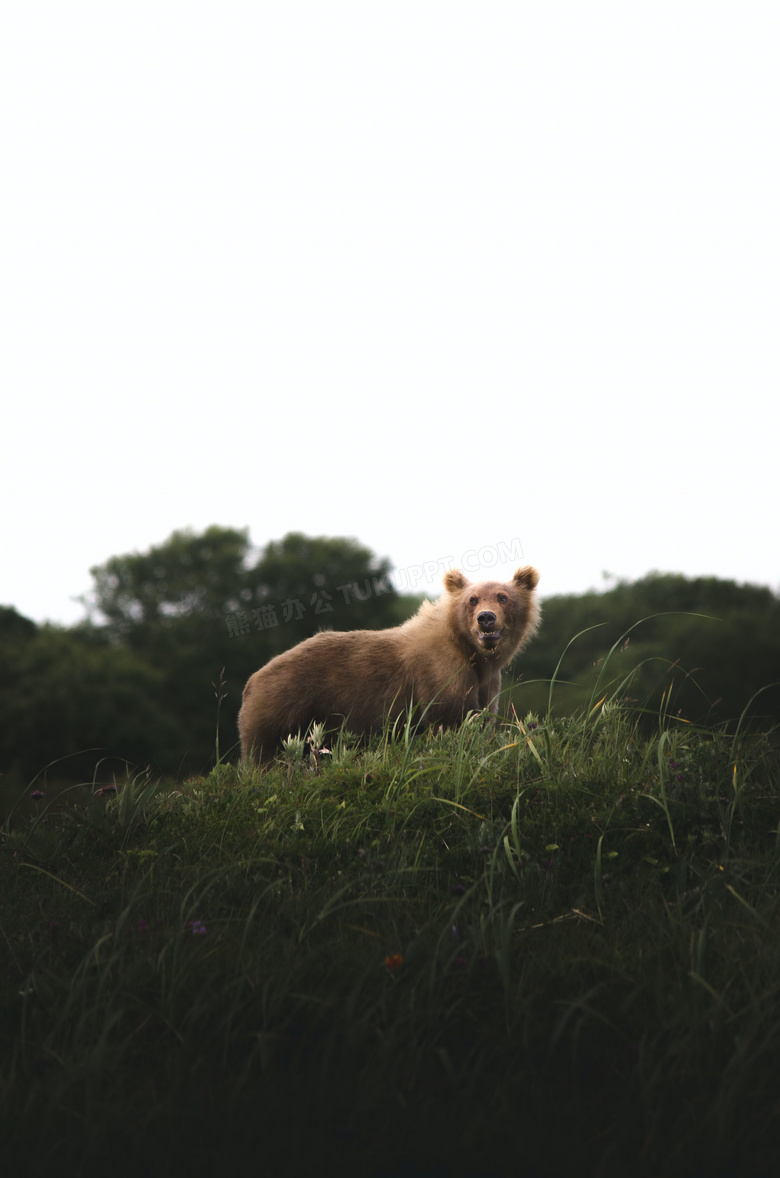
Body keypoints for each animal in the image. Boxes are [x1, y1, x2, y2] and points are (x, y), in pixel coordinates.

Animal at [240, 563, 544, 763]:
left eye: (503, 597)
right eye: (472, 599)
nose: (486, 618)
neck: (473, 652)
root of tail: (253, 679)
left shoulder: (486, 683)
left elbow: (482, 719)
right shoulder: (443, 673)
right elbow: (451, 720)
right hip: (284, 709)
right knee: (265, 756)